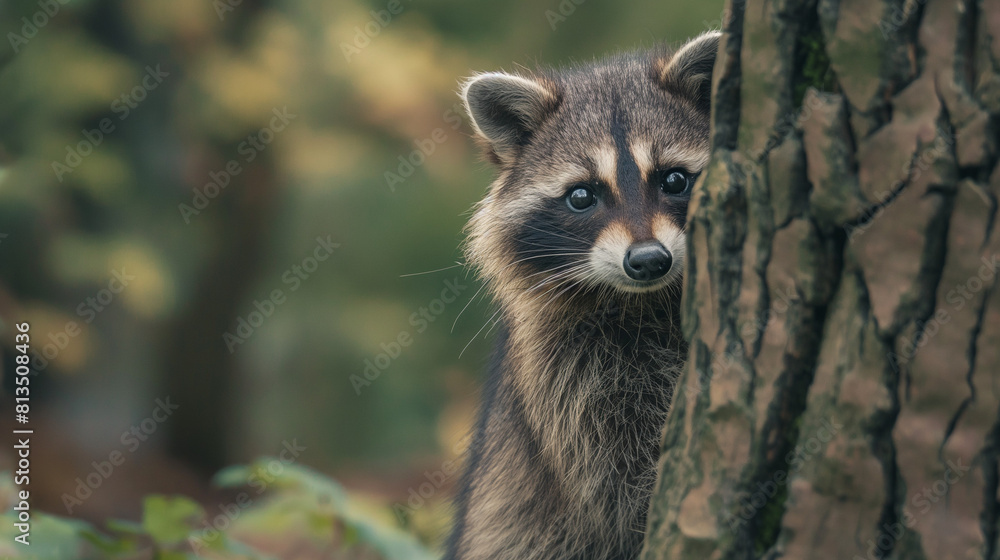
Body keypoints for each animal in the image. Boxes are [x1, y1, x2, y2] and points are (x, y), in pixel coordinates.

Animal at [446, 32, 720, 560]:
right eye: (581, 196)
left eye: (675, 179)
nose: (649, 260)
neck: (644, 300)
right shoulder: (572, 379)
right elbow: (622, 480)